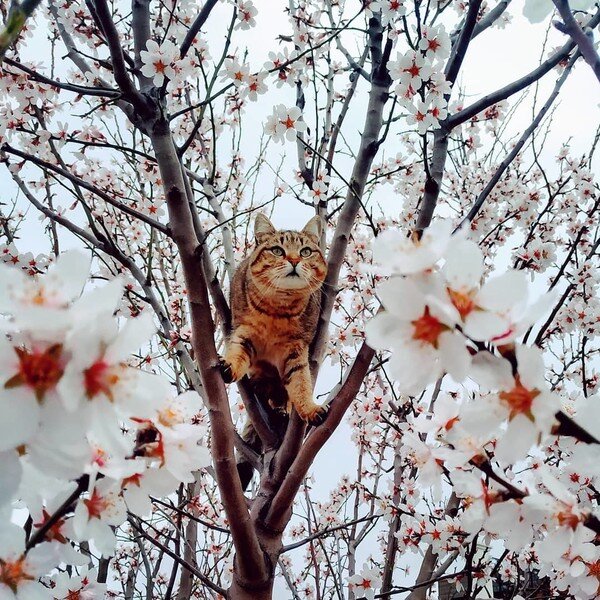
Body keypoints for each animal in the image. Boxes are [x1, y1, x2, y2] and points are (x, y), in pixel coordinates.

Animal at [221, 213, 328, 424]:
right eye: (277, 250)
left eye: (305, 251)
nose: (294, 260)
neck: (278, 310)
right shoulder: (244, 332)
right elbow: (237, 353)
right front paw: (229, 365)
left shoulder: (296, 348)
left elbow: (301, 382)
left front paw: (310, 408)